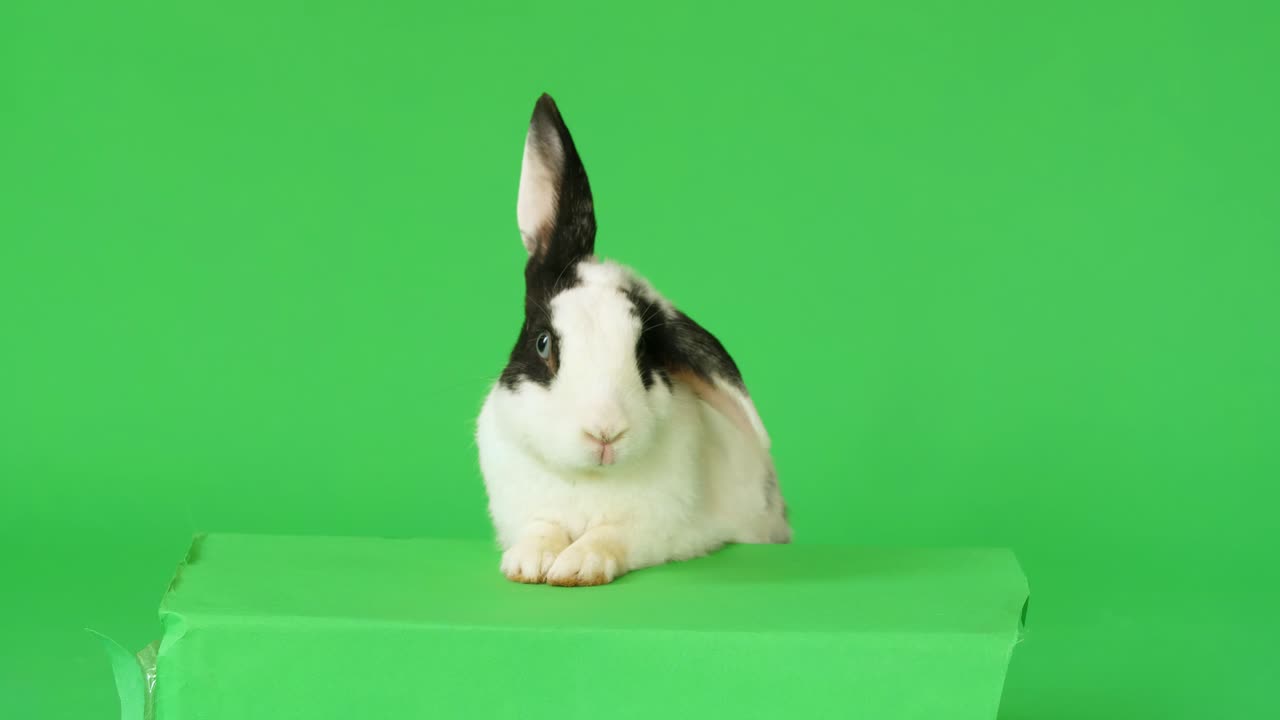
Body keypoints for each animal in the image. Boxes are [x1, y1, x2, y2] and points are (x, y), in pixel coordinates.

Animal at [475, 93, 790, 587]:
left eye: (644, 355)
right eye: (544, 344)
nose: (606, 432)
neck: (586, 478)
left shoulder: (657, 530)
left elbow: (611, 536)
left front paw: (577, 566)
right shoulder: (527, 509)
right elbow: (542, 526)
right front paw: (528, 563)